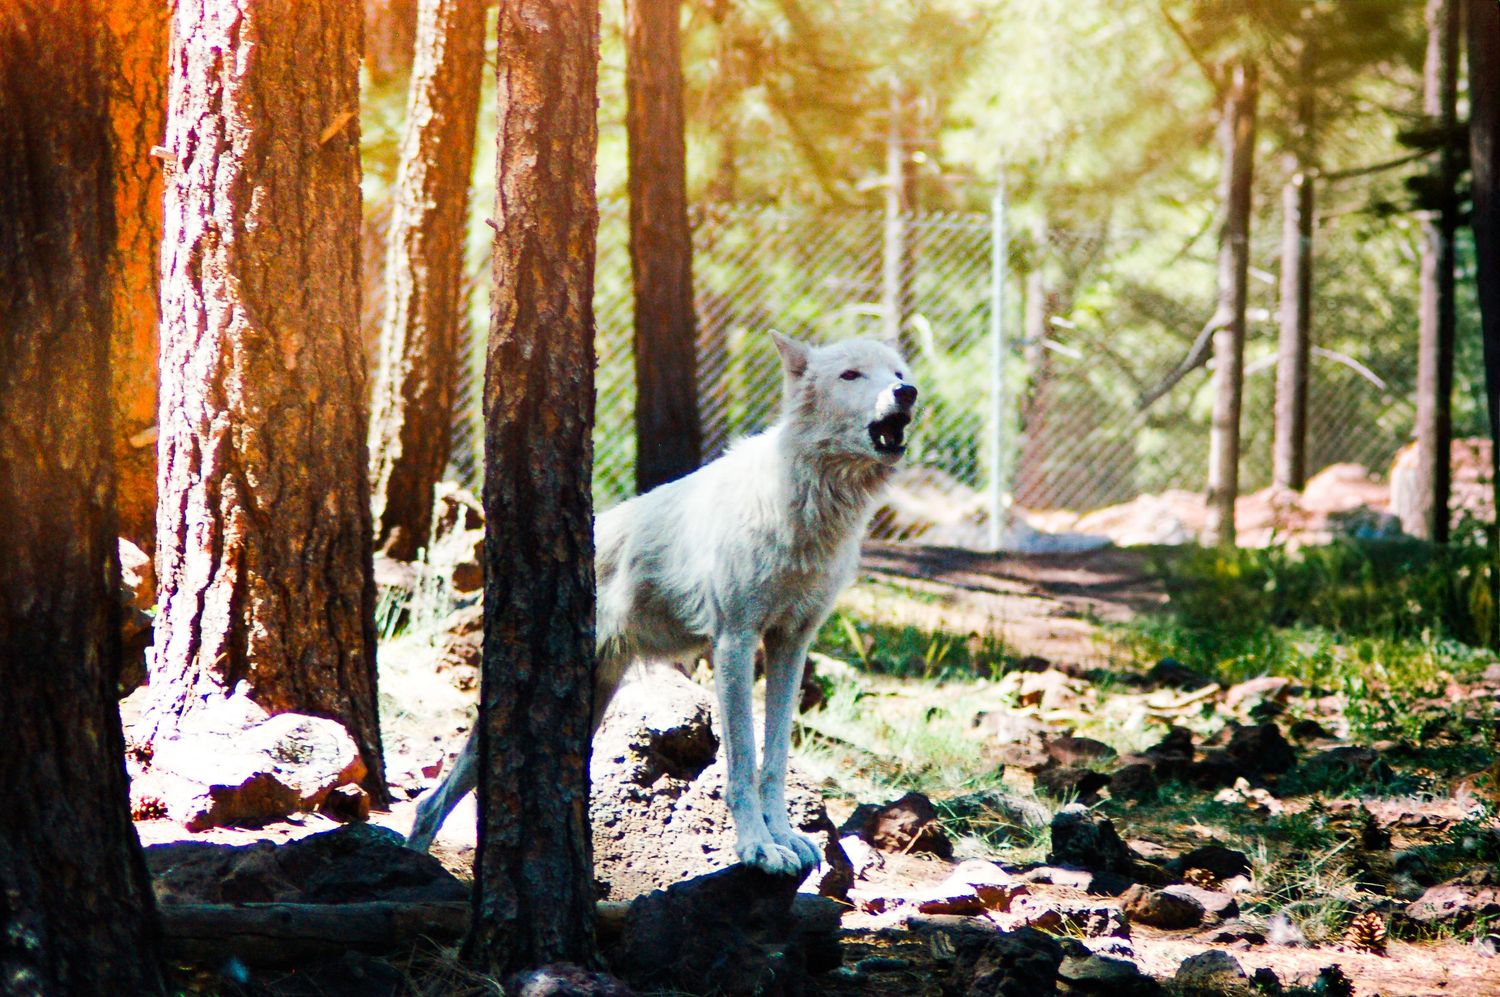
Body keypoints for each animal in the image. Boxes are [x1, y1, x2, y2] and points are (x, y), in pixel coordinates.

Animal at [406, 332, 918, 875]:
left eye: (897, 372)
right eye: (851, 375)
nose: (907, 392)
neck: (807, 502)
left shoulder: (791, 644)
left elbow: (775, 760)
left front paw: (784, 837)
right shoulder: (735, 642)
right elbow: (742, 762)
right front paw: (757, 848)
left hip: (595, 697)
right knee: (432, 800)